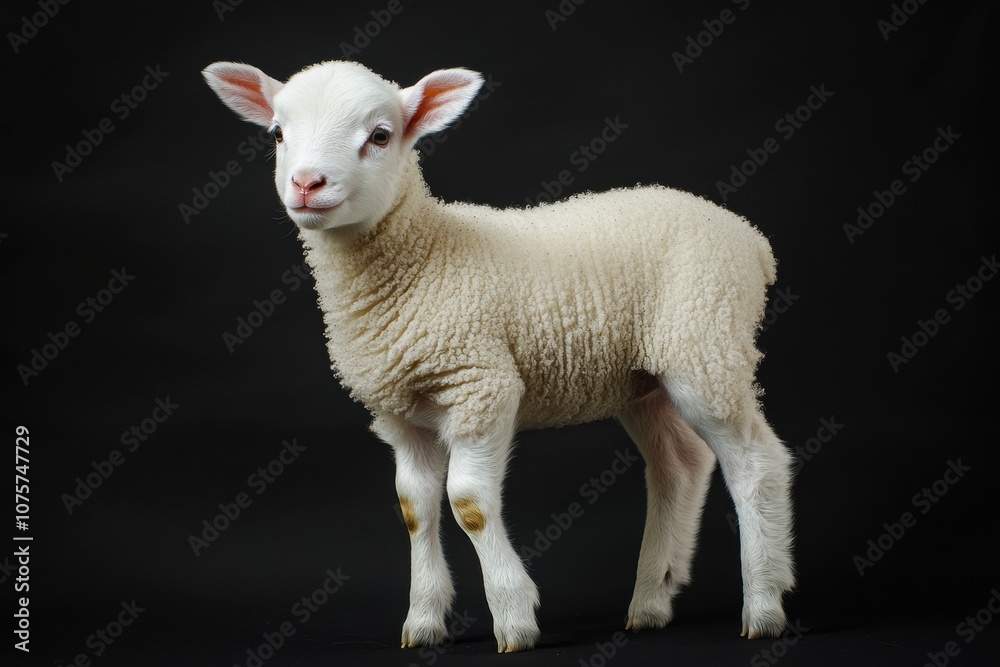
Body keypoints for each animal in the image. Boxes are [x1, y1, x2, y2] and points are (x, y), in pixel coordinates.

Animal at [203, 59, 796, 653]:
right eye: (277, 134)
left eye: (380, 136)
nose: (306, 184)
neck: (424, 257)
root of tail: (752, 239)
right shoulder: (398, 409)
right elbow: (414, 507)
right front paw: (423, 620)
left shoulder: (480, 384)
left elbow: (468, 503)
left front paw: (514, 616)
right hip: (645, 377)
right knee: (679, 463)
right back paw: (652, 599)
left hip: (706, 343)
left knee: (755, 461)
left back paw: (764, 604)